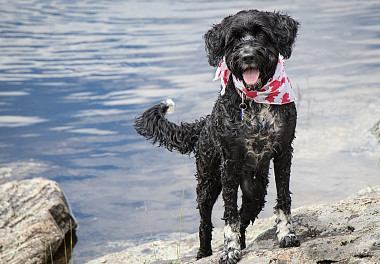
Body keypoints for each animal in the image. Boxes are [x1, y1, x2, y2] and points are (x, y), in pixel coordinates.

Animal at [134, 9, 300, 264]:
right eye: (234, 39)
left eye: (262, 34)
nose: (247, 56)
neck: (255, 102)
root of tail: (204, 123)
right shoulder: (229, 164)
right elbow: (229, 213)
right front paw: (230, 250)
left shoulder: (283, 153)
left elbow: (283, 199)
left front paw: (286, 235)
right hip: (207, 183)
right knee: (205, 223)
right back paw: (204, 252)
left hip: (255, 191)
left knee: (245, 215)